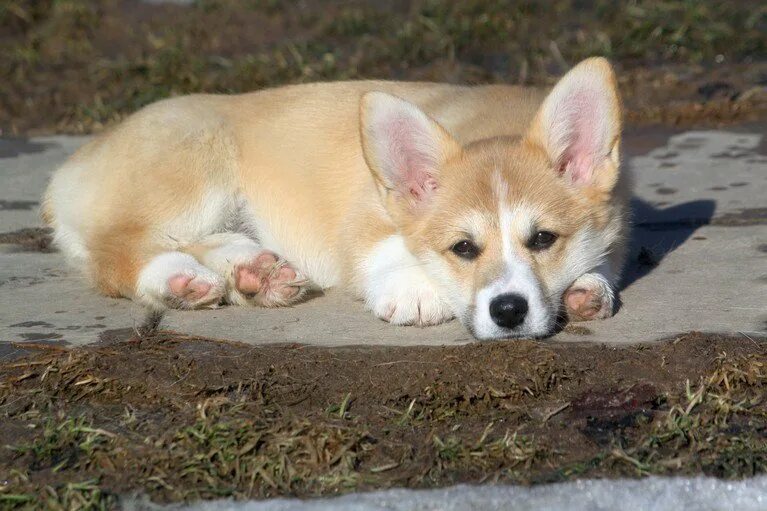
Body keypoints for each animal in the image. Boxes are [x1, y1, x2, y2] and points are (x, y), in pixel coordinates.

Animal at [42, 57, 632, 340]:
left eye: (543, 239)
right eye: (463, 248)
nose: (508, 311)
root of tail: (71, 168)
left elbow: (605, 259)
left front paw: (589, 288)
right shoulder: (366, 214)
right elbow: (384, 249)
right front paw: (416, 291)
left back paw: (254, 271)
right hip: (195, 169)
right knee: (116, 251)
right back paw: (177, 280)